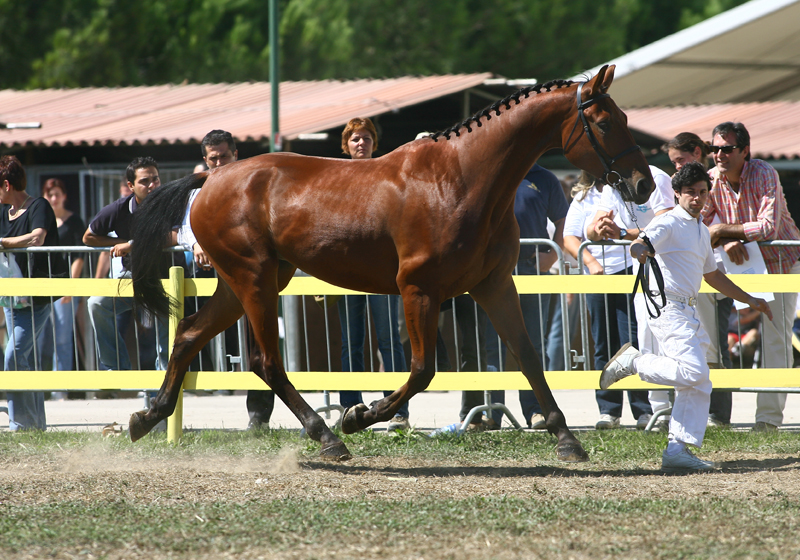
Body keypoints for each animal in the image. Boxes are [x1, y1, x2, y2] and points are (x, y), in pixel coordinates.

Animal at [131, 64, 652, 464]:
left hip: (247, 280)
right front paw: (359, 416)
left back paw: (147, 417)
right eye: (604, 123)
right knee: (265, 360)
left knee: (190, 334)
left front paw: (566, 439)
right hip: (253, 279)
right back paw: (328, 437)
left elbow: (526, 357)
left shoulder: (494, 285)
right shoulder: (418, 290)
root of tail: (210, 179)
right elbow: (422, 370)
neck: (463, 178)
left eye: (624, 116)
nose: (643, 184)